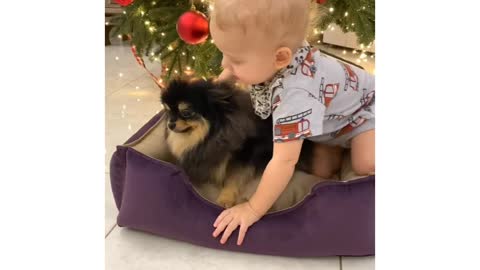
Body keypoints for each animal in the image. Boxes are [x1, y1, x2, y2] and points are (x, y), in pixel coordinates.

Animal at [159, 77, 314, 208]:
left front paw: (225, 199)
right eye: (168, 111)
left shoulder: (243, 156)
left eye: (186, 112)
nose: (170, 124)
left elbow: (232, 178)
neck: (212, 135)